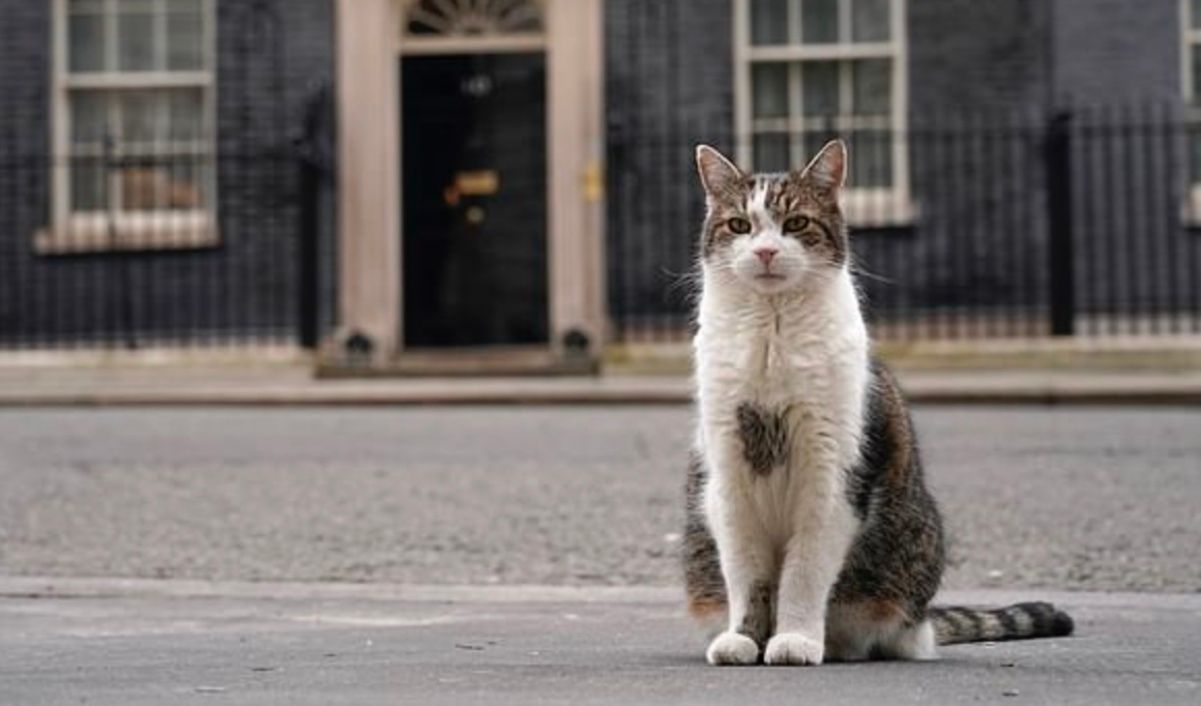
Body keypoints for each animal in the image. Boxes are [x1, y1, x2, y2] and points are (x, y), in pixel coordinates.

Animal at [682, 140, 1076, 662]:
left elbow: (804, 571)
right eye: (740, 226)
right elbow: (747, 574)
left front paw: (795, 638)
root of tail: (924, 620)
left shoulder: (832, 474)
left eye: (796, 223)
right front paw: (745, 639)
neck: (772, 333)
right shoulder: (728, 474)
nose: (765, 251)